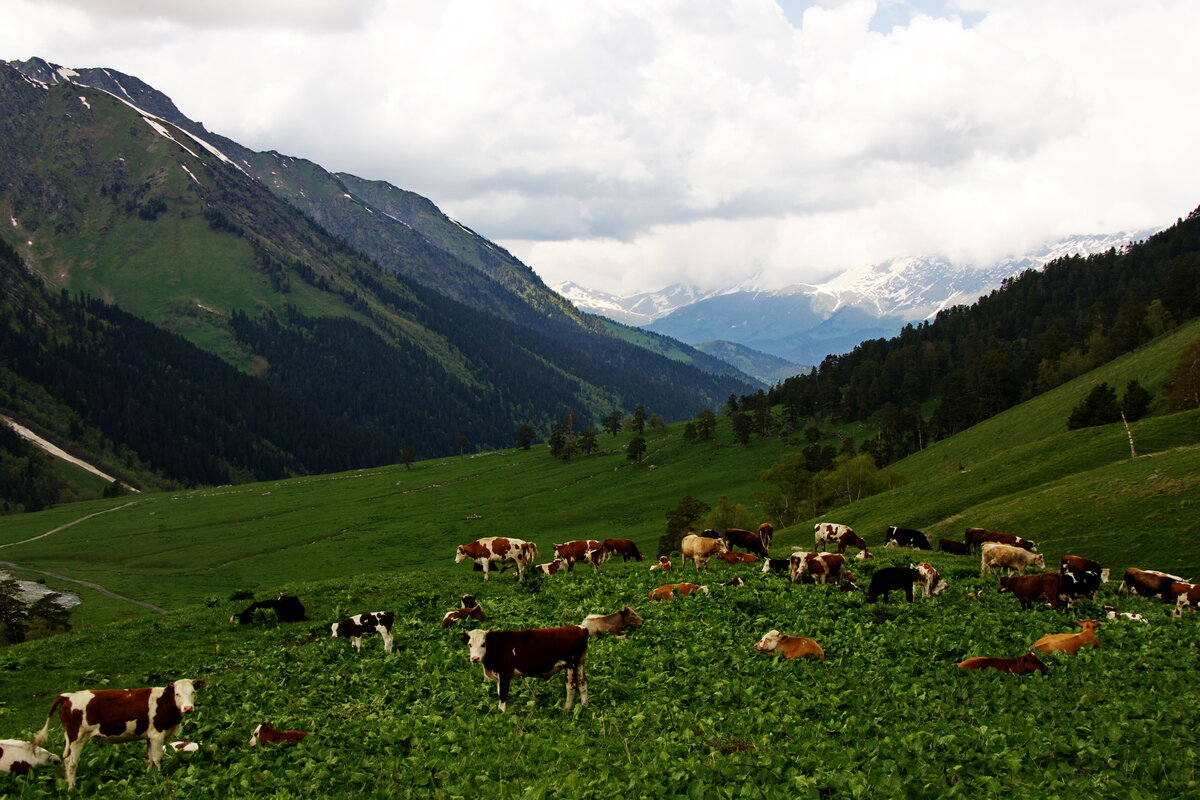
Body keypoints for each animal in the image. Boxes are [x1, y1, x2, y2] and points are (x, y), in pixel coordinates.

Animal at [31, 681, 204, 791]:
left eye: (193, 692)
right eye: (177, 694)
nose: (188, 708)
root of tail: (68, 696)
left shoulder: (149, 736)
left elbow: (149, 760)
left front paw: (149, 777)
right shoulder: (157, 735)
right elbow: (157, 759)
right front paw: (160, 778)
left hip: (69, 738)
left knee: (66, 759)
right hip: (77, 738)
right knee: (72, 762)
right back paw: (72, 788)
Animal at [460, 623, 588, 714]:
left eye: (483, 644)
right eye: (470, 644)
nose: (475, 658)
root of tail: (580, 628)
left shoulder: (505, 673)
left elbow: (503, 694)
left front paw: (502, 713)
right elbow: (499, 692)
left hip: (569, 664)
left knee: (571, 687)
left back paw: (567, 709)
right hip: (580, 663)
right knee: (582, 683)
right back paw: (584, 706)